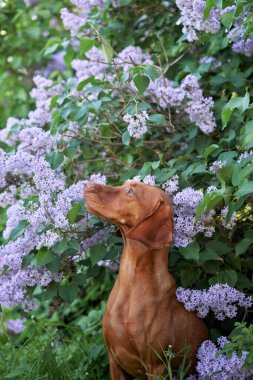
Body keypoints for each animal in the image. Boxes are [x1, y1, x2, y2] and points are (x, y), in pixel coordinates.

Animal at [83, 180, 208, 378]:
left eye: (130, 192)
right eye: (125, 185)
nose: (87, 184)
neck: (130, 284)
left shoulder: (156, 367)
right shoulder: (114, 360)